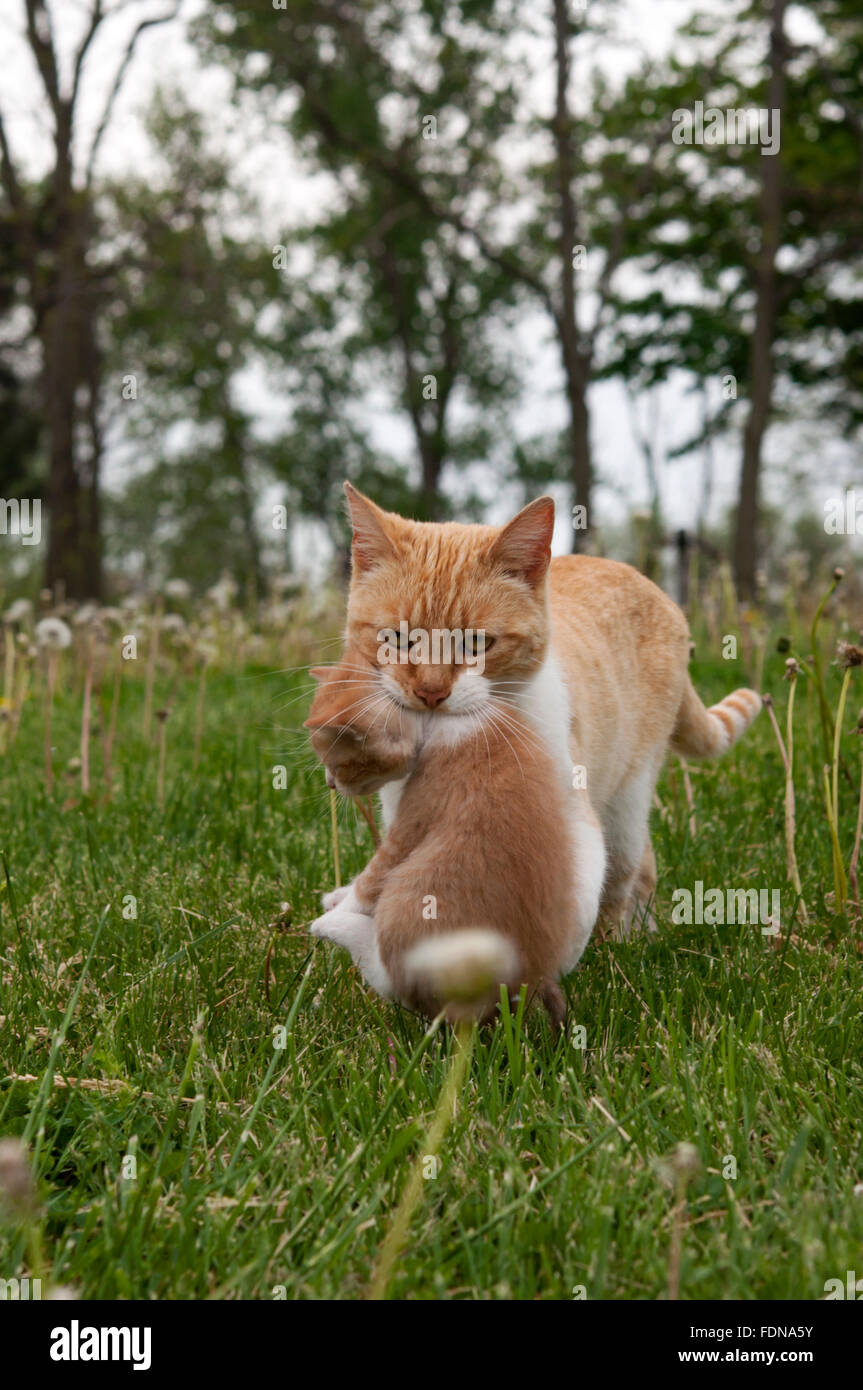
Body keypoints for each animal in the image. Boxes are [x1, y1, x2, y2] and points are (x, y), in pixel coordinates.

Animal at [304, 650, 578, 1023]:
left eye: (339, 764)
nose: (330, 784)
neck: (439, 720)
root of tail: (527, 980)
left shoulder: (415, 815)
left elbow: (374, 876)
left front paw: (339, 907)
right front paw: (338, 894)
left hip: (408, 904)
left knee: (397, 980)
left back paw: (334, 927)